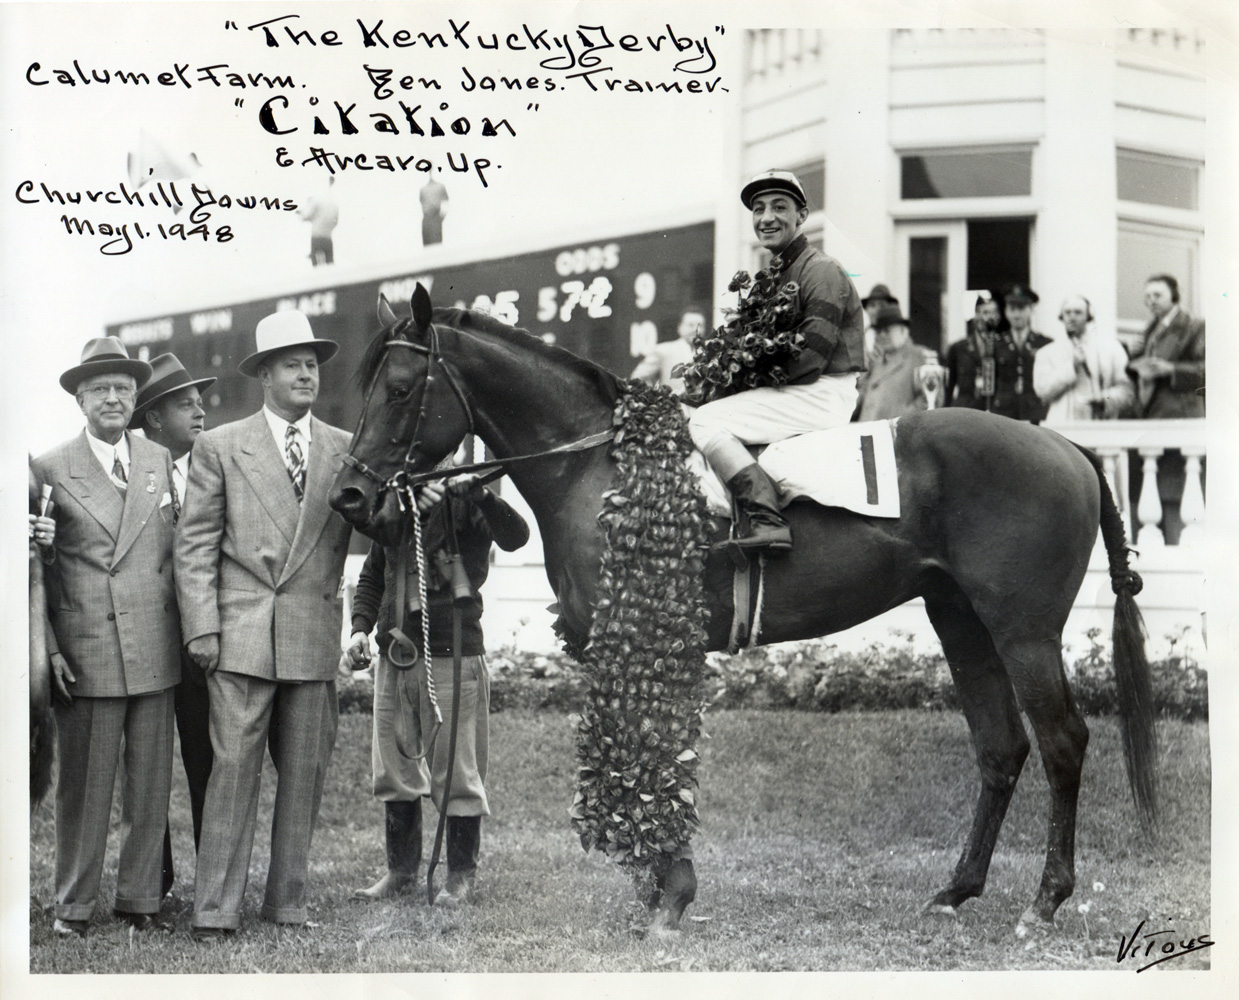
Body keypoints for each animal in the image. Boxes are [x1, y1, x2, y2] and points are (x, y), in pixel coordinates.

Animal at [327, 285, 1149, 936]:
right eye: (368, 386)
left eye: (400, 387)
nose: (351, 496)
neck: (600, 461)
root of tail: (1069, 448)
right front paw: (657, 887)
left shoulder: (645, 638)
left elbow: (654, 754)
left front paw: (670, 896)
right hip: (961, 621)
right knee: (1000, 746)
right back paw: (956, 889)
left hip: (1024, 631)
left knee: (1063, 742)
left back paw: (1044, 900)